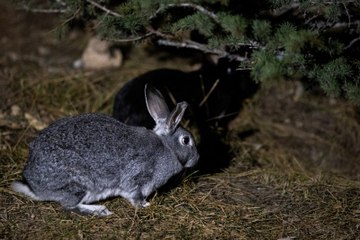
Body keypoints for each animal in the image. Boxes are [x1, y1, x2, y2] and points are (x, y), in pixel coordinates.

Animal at [11, 85, 198, 217]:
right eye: (186, 140)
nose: (197, 158)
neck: (166, 146)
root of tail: (34, 186)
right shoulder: (136, 178)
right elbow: (134, 194)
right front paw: (145, 205)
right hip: (78, 184)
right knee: (70, 206)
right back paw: (100, 211)